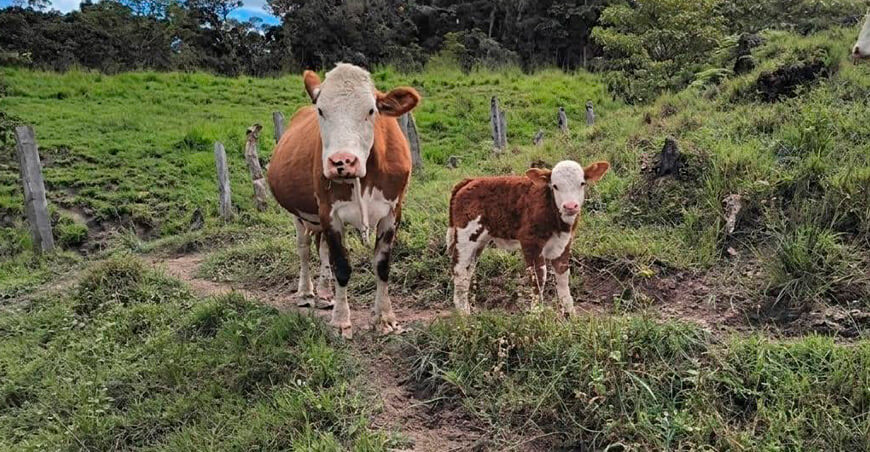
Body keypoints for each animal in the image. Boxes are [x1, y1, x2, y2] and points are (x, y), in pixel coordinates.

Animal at [266, 63, 420, 339]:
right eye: (321, 110)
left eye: (371, 110)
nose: (342, 161)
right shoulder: (329, 213)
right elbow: (341, 266)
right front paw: (341, 321)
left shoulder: (393, 211)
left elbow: (382, 265)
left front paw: (384, 318)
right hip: (299, 214)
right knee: (304, 249)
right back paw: (306, 292)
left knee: (321, 248)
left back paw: (324, 293)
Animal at [447, 160, 610, 315]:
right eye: (555, 186)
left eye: (582, 183)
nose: (570, 206)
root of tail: (470, 180)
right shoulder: (530, 242)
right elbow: (539, 277)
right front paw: (536, 313)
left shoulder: (565, 242)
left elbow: (563, 277)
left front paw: (571, 314)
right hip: (465, 237)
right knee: (460, 272)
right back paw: (465, 316)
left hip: (479, 242)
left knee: (468, 271)